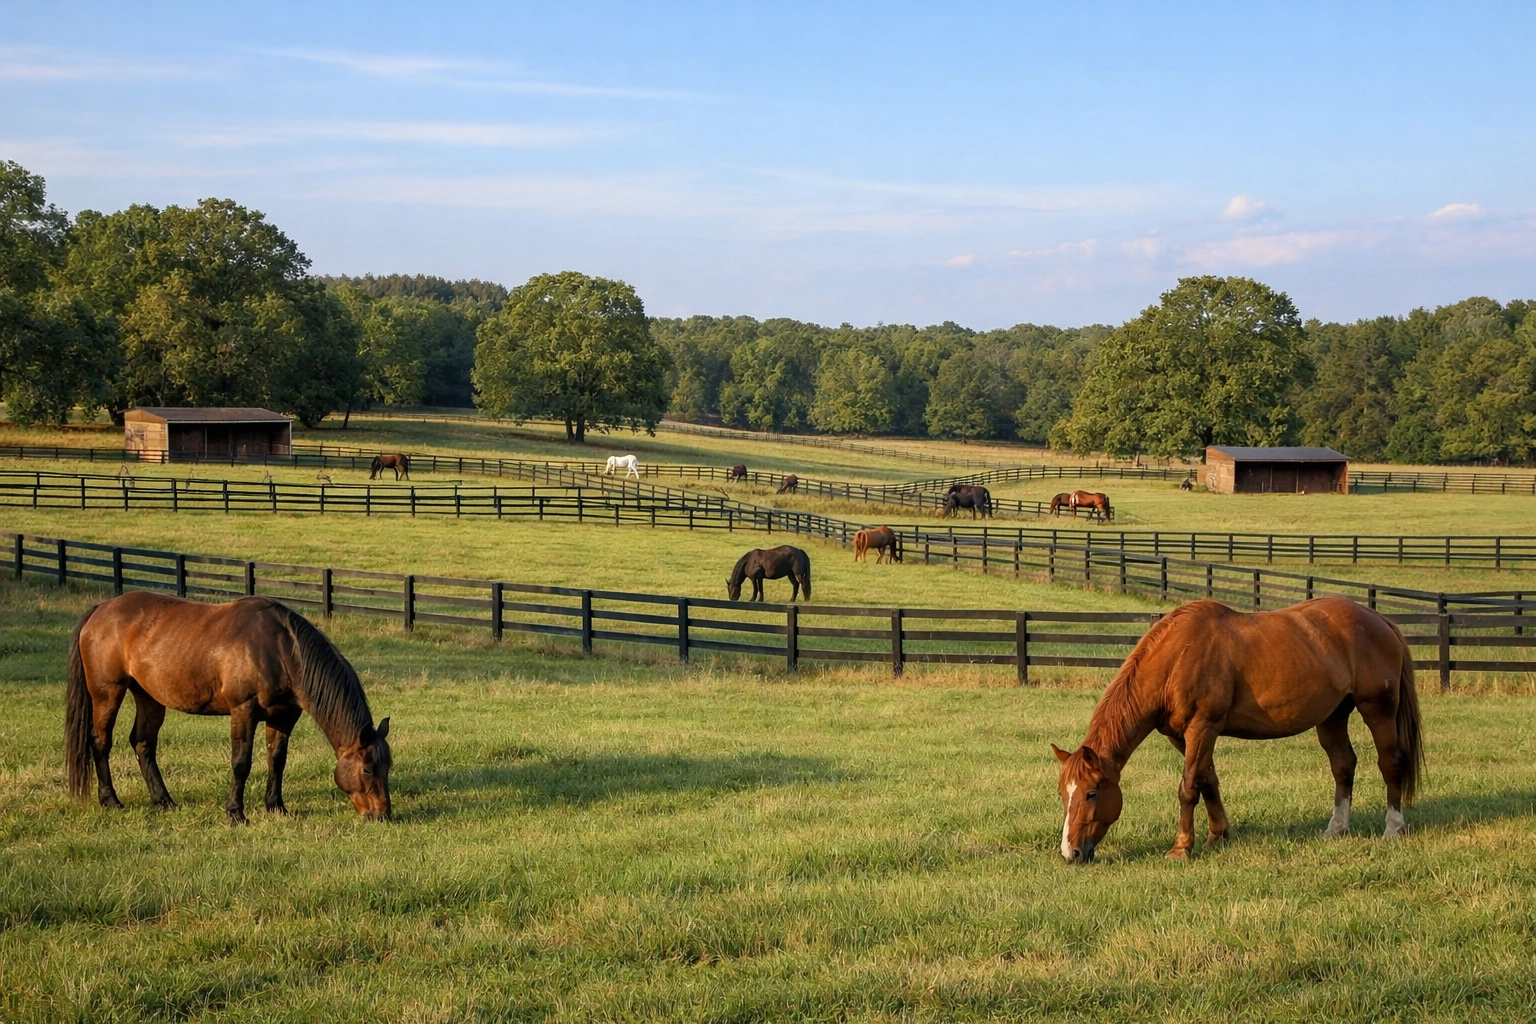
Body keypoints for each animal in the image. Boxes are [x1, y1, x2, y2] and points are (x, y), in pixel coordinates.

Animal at [67, 592, 393, 823]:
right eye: (367, 769)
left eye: (388, 766)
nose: (382, 816)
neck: (282, 650)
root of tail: (101, 609)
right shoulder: (243, 712)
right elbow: (241, 763)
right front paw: (236, 813)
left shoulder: (284, 717)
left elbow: (277, 761)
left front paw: (277, 808)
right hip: (107, 692)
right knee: (101, 742)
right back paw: (110, 801)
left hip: (149, 697)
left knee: (143, 743)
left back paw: (164, 801)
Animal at [1051, 598, 1422, 864]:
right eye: (1062, 795)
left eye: (1091, 793)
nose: (1071, 854)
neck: (1177, 657)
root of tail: (1380, 620)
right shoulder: (1183, 735)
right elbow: (1207, 781)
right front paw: (1218, 835)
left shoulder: (1203, 727)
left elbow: (1188, 788)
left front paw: (1181, 848)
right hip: (1332, 716)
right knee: (1343, 766)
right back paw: (1336, 829)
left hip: (1377, 709)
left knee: (1390, 763)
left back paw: (1393, 828)